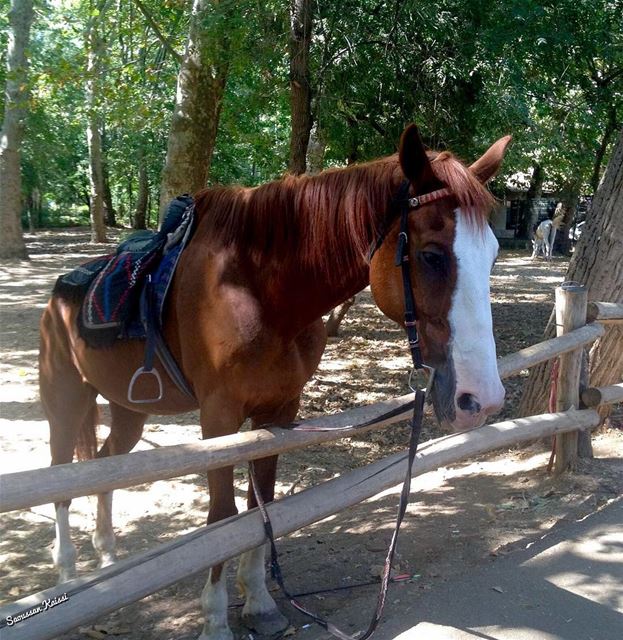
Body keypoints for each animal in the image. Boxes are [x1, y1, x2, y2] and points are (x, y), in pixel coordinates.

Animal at [41, 122, 512, 636]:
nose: (482, 400)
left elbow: (259, 503)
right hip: (64, 399)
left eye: (492, 256)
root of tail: (61, 290)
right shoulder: (220, 418)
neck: (259, 292)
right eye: (430, 256)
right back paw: (68, 579)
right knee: (60, 475)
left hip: (130, 411)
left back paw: (106, 560)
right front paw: (215, 619)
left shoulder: (279, 411)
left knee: (103, 465)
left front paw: (260, 601)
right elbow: (222, 517)